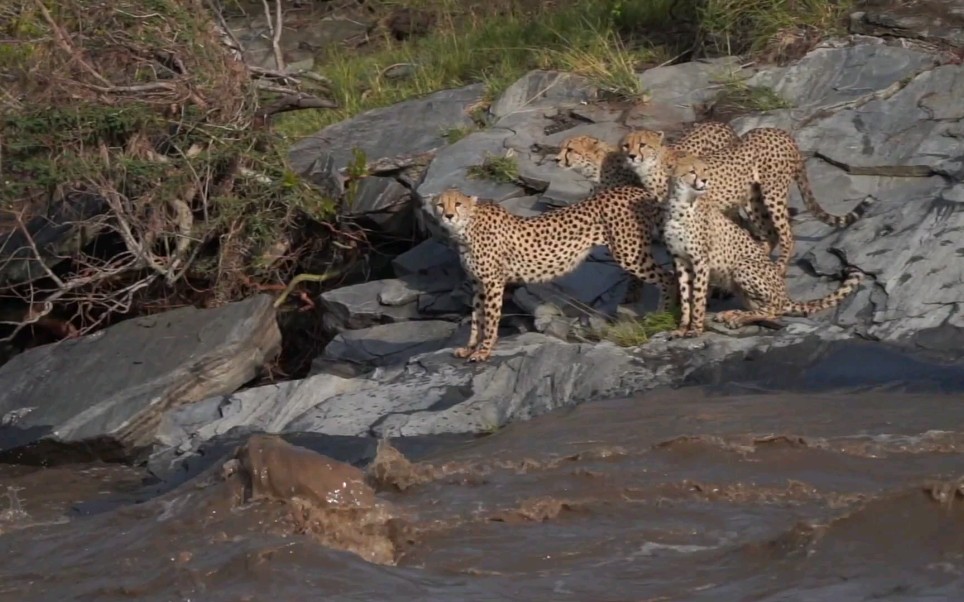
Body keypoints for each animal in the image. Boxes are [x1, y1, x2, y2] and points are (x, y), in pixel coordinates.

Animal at [434, 186, 676, 360]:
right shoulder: (478, 284)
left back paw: (661, 314)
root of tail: (635, 189)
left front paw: (483, 351)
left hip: (629, 253)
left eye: (458, 204)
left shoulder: (493, 282)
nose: (448, 216)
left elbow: (490, 319)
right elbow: (477, 318)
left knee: (668, 277)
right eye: (440, 205)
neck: (466, 228)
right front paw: (469, 348)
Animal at [620, 125, 876, 274]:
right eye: (625, 145)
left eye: (642, 144)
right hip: (753, 200)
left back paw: (778, 267)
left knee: (786, 234)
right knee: (770, 234)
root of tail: (781, 132)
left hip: (772, 192)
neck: (654, 167)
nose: (631, 156)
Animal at [664, 155, 868, 338]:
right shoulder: (681, 261)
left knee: (773, 311)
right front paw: (682, 329)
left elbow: (697, 298)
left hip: (743, 266)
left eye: (705, 170)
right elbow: (686, 299)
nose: (705, 180)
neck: (681, 204)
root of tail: (785, 295)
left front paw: (695, 330)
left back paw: (737, 318)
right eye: (692, 171)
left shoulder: (700, 261)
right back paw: (732, 314)